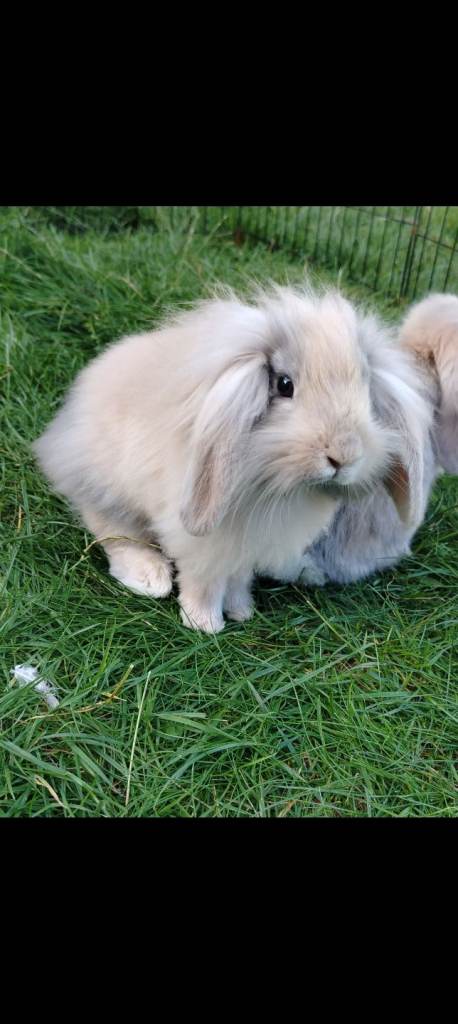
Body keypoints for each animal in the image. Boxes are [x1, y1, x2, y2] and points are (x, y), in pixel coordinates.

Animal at [34, 283, 419, 633]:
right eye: (284, 385)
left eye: (364, 387)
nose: (344, 455)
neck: (270, 485)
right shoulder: (204, 539)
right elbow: (205, 579)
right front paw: (204, 623)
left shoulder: (248, 543)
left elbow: (238, 576)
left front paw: (241, 610)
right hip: (109, 488)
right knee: (112, 530)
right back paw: (150, 577)